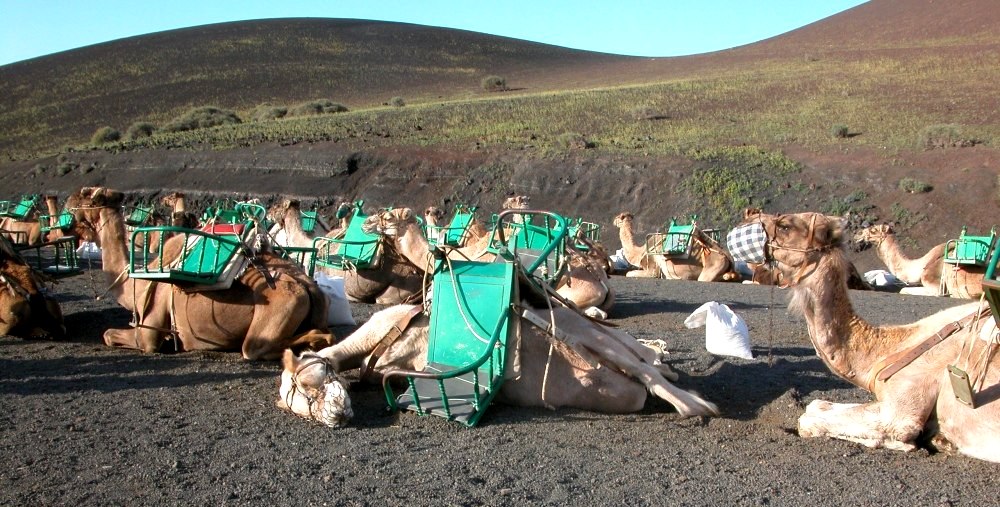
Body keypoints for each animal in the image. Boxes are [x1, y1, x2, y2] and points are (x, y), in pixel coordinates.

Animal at [72, 188, 336, 362]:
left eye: (86, 197)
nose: (69, 207)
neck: (134, 284)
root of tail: (310, 288)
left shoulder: (149, 331)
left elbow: (108, 334)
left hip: (276, 314)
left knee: (256, 348)